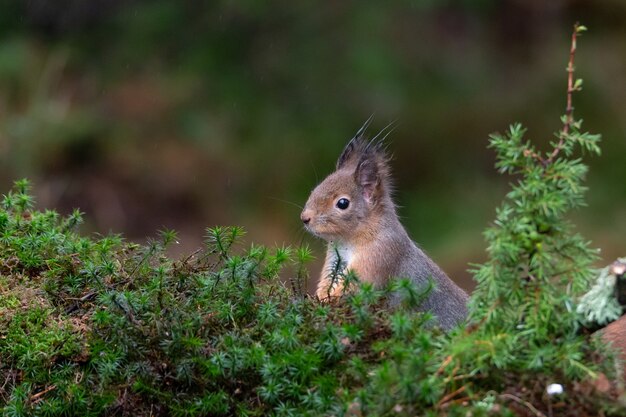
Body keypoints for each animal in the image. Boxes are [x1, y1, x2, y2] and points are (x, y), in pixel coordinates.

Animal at [300, 119, 466, 328]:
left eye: (343, 203)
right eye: (315, 189)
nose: (305, 218)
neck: (348, 241)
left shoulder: (380, 255)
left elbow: (353, 289)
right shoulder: (334, 262)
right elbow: (326, 285)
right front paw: (319, 298)